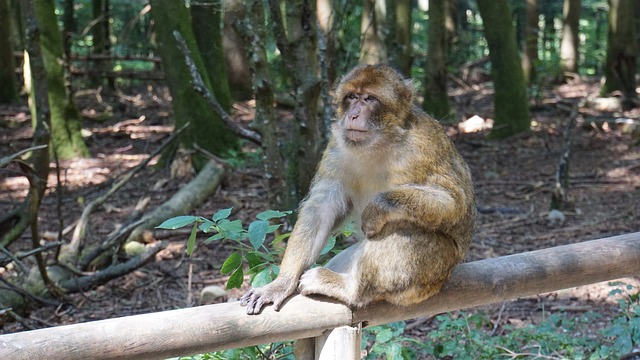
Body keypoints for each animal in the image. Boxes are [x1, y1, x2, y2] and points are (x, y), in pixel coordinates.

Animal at [240, 63, 476, 316]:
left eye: (370, 99)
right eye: (352, 97)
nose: (353, 114)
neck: (379, 143)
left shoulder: (422, 148)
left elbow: (454, 203)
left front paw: (376, 209)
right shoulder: (336, 146)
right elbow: (322, 207)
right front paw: (280, 283)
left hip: (431, 276)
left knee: (404, 228)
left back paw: (350, 288)